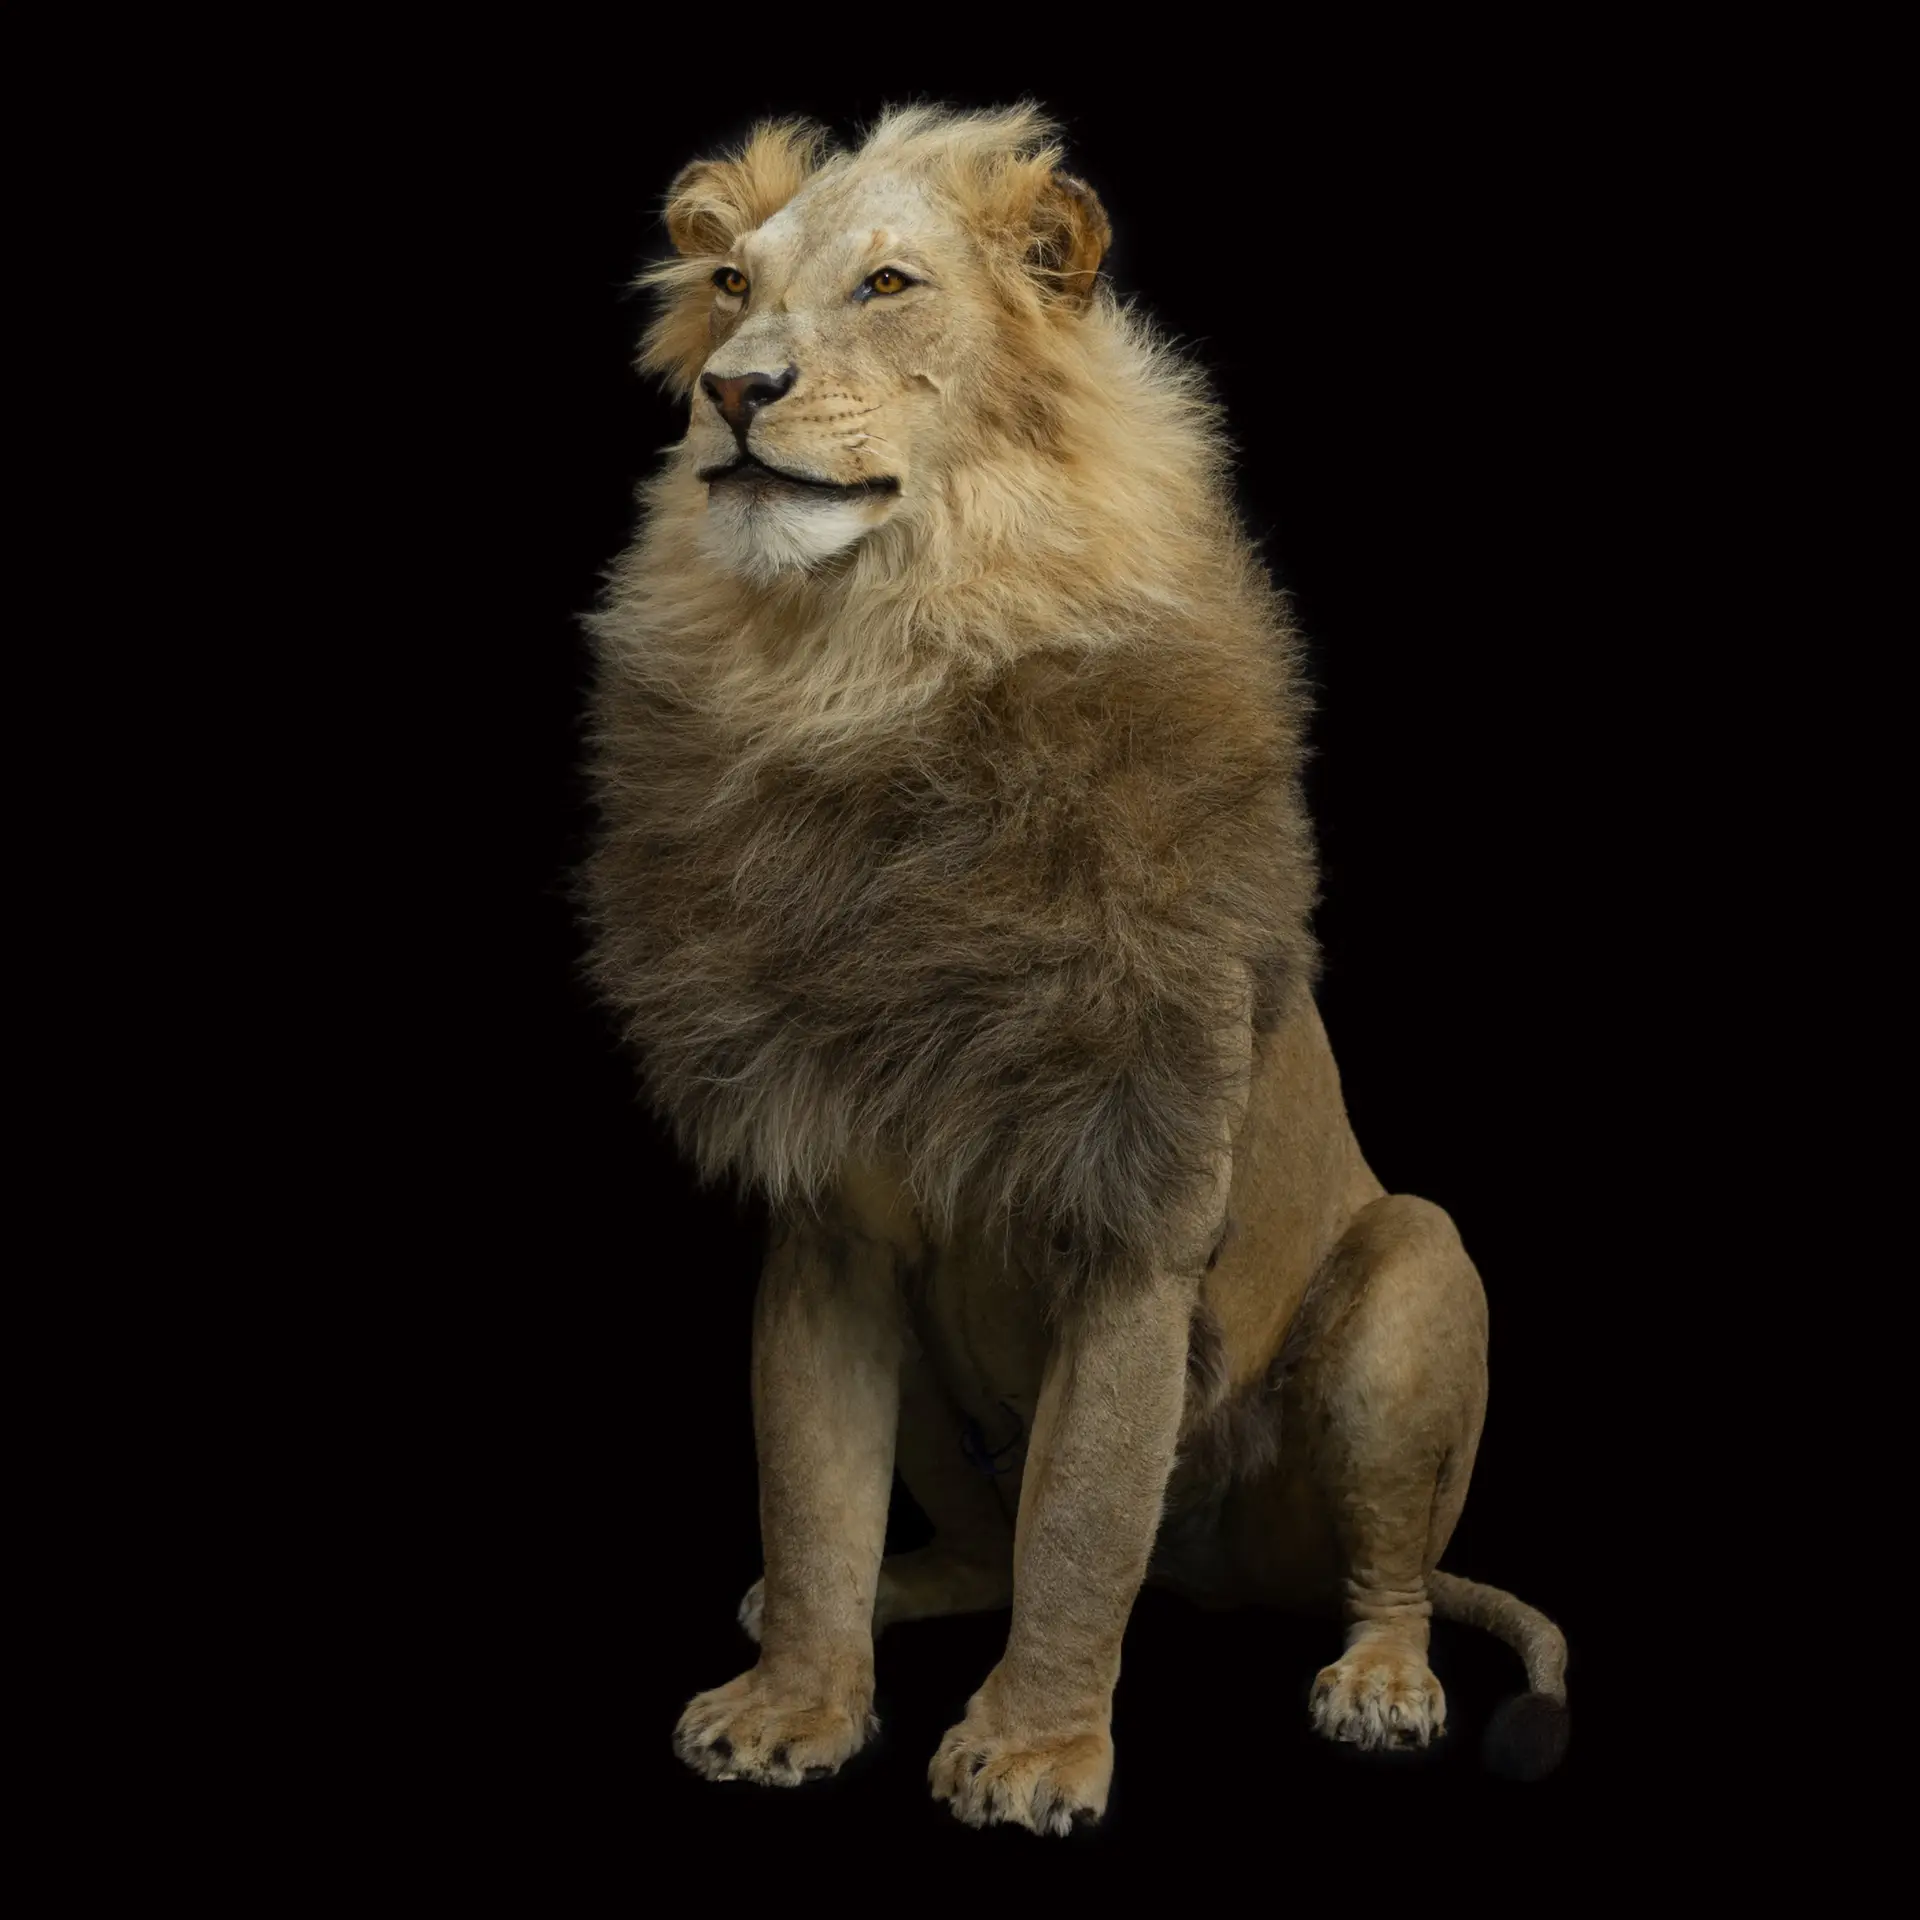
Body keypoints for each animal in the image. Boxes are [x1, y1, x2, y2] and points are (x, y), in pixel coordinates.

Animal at [580, 104, 1570, 1834]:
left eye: (888, 284)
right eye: (727, 286)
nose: (734, 392)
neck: (874, 665)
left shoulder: (1139, 1218)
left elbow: (1085, 1526)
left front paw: (1037, 1750)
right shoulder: (827, 1226)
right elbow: (809, 1493)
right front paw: (794, 1706)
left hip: (1414, 1272)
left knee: (1379, 1569)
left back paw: (1382, 1685)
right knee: (967, 1544)